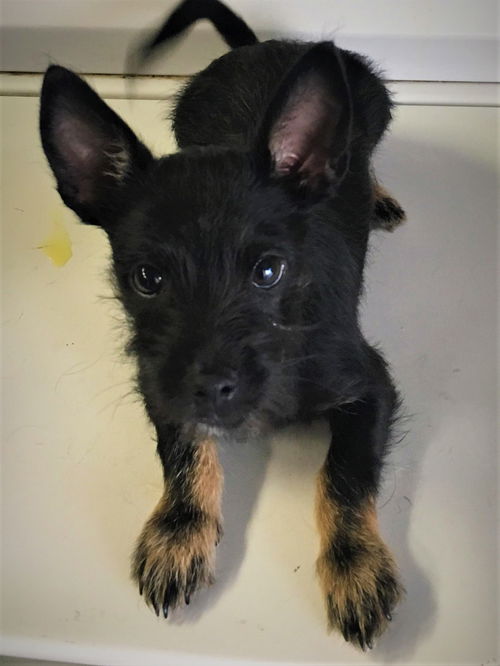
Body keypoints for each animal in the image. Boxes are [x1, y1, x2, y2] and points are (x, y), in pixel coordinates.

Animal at [39, 0, 406, 644]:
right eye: (147, 278)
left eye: (269, 271)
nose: (212, 389)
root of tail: (266, 45)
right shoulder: (159, 376)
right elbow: (184, 448)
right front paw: (179, 533)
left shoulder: (371, 385)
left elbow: (344, 473)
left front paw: (356, 565)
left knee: (356, 161)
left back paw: (377, 194)